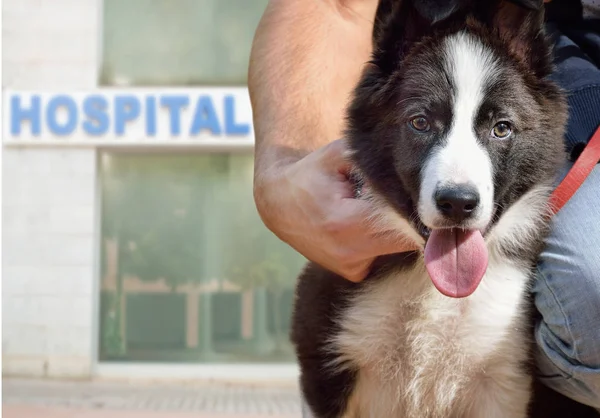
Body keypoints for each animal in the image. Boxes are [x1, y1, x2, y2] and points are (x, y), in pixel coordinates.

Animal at [290, 0, 600, 416]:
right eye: (420, 122)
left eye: (502, 128)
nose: (457, 203)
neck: (434, 288)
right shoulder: (327, 363)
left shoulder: (503, 378)